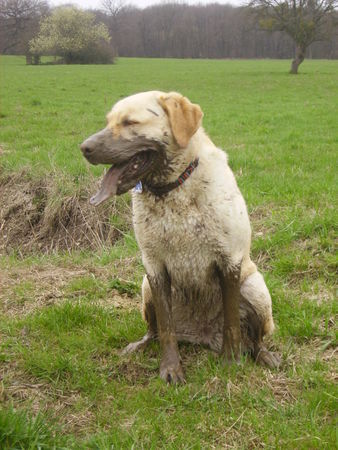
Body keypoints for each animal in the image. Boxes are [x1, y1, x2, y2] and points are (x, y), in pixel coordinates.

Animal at [80, 90, 280, 384]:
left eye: (130, 122)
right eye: (108, 122)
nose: (84, 148)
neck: (174, 189)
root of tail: (201, 336)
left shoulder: (229, 260)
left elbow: (232, 320)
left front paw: (231, 361)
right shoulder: (154, 267)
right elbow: (166, 327)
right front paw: (171, 368)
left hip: (256, 287)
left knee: (255, 338)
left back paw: (262, 355)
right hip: (145, 289)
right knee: (153, 331)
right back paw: (139, 345)